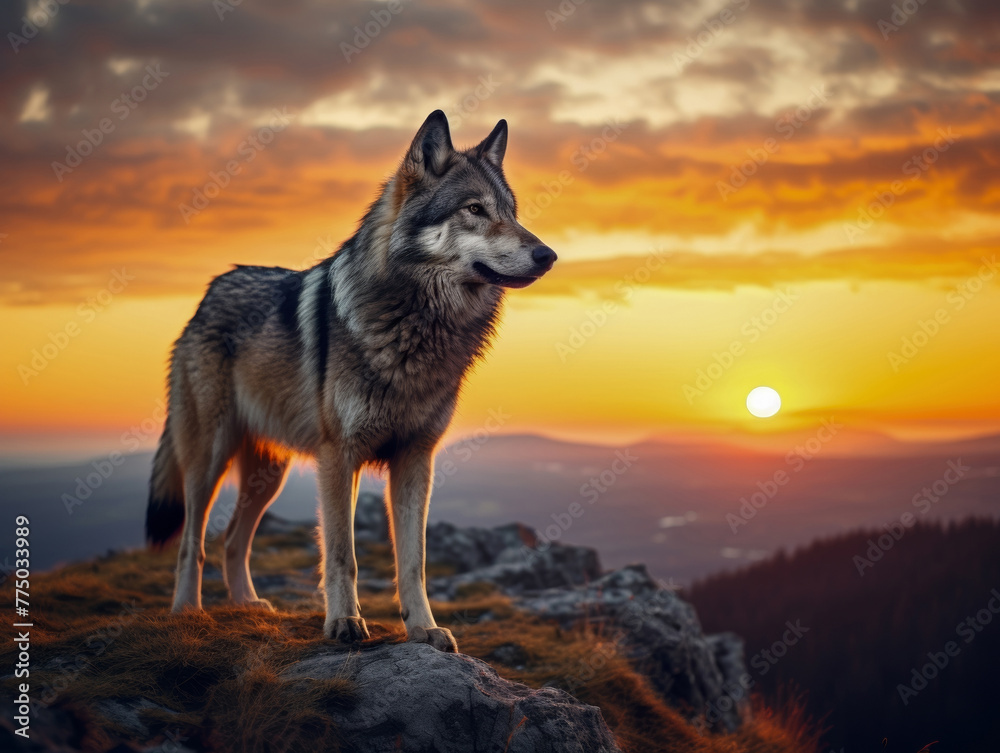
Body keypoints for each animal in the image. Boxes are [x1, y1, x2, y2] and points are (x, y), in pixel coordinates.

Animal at [146, 111, 556, 652]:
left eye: (512, 212)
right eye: (475, 209)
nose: (549, 255)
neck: (417, 326)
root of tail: (209, 292)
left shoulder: (415, 458)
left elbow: (414, 561)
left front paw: (423, 628)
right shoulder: (338, 457)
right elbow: (343, 553)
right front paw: (343, 623)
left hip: (268, 473)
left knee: (234, 538)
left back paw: (247, 605)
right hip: (208, 458)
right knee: (192, 542)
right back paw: (187, 611)